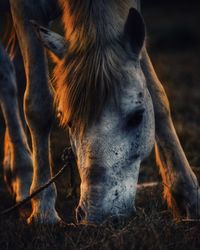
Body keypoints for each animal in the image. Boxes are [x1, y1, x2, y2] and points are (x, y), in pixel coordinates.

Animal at [0, 0, 199, 224]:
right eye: (69, 123)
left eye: (137, 117)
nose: (96, 215)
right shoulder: (25, 9)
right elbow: (38, 104)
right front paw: (43, 210)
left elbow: (157, 96)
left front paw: (188, 194)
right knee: (6, 73)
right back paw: (23, 177)